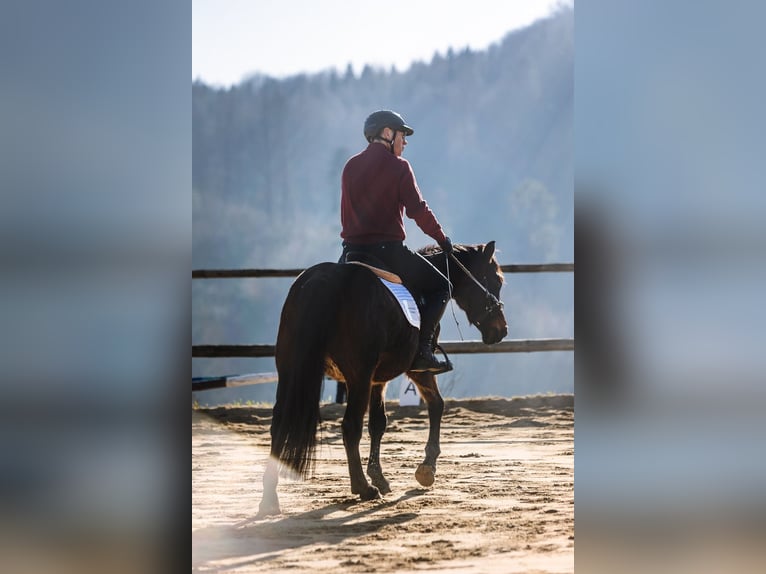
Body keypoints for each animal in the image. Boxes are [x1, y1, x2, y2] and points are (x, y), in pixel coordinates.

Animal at [258, 241, 510, 520]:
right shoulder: (417, 369)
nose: (501, 330)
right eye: (496, 280)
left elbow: (378, 423)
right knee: (350, 426)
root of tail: (325, 280)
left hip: (291, 370)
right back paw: (362, 488)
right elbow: (436, 405)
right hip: (358, 376)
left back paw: (269, 498)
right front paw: (426, 468)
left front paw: (379, 476)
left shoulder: (377, 381)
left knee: (279, 424)